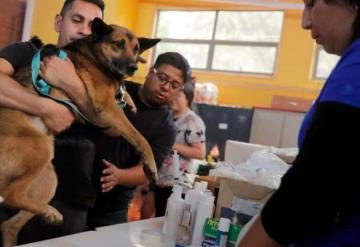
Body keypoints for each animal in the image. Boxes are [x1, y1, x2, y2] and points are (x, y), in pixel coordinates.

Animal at [0, 17, 160, 247]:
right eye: (118, 44)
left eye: (136, 48)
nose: (133, 67)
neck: (94, 54)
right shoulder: (107, 107)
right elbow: (140, 137)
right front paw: (151, 166)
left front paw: (128, 99)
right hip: (42, 148)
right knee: (11, 194)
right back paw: (50, 211)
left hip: (49, 176)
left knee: (9, 222)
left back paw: (46, 214)